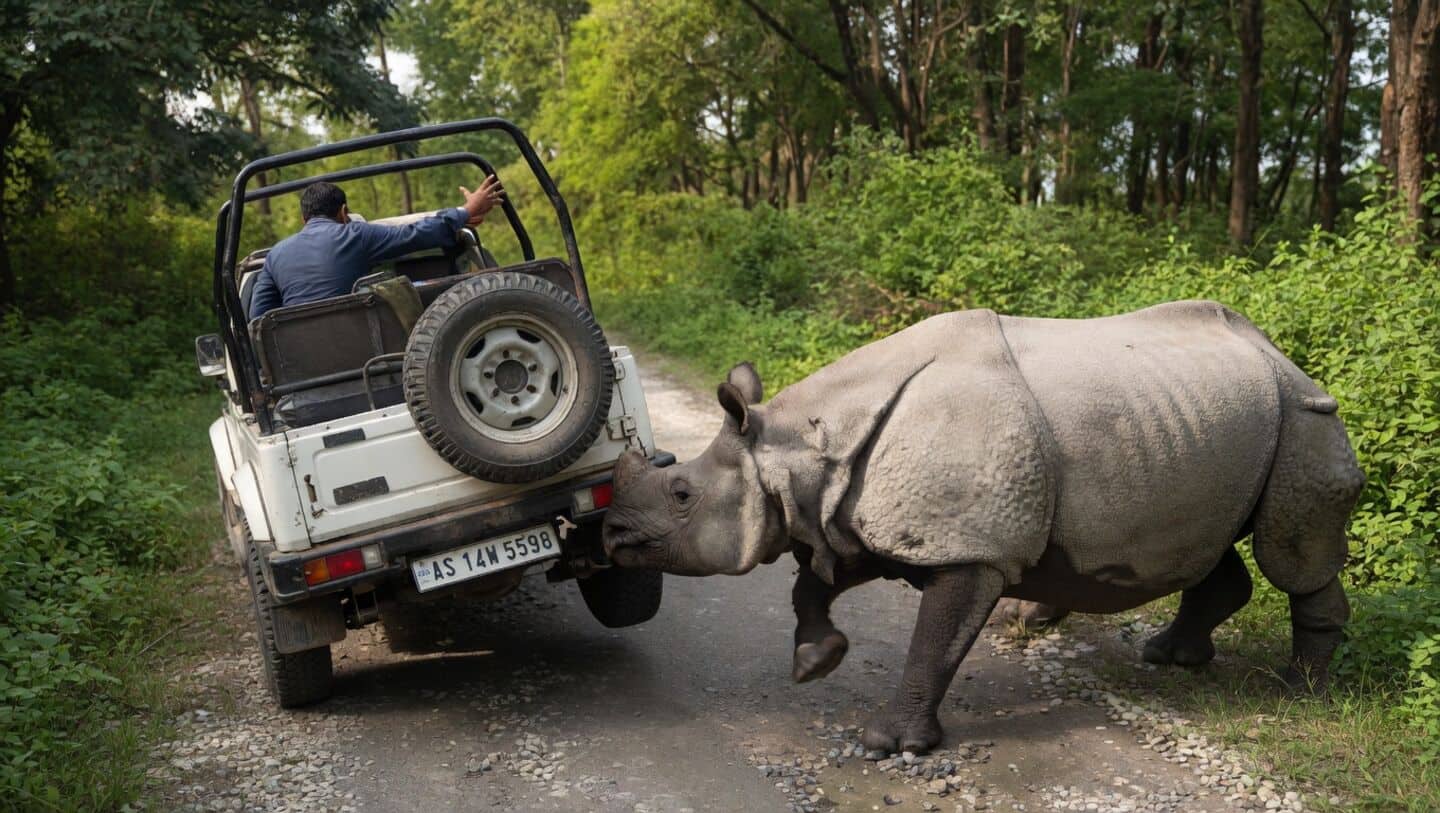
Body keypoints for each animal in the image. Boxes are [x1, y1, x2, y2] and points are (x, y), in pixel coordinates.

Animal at [603, 301, 1363, 754]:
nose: (608, 532)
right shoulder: (857, 511)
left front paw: (890, 744)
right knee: (1215, 543)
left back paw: (1296, 691)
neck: (802, 449)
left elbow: (934, 643)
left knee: (1289, 552)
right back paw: (1171, 657)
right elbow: (812, 583)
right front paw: (815, 661)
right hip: (1212, 419)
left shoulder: (966, 545)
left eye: (680, 494)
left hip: (1305, 415)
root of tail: (1282, 353)